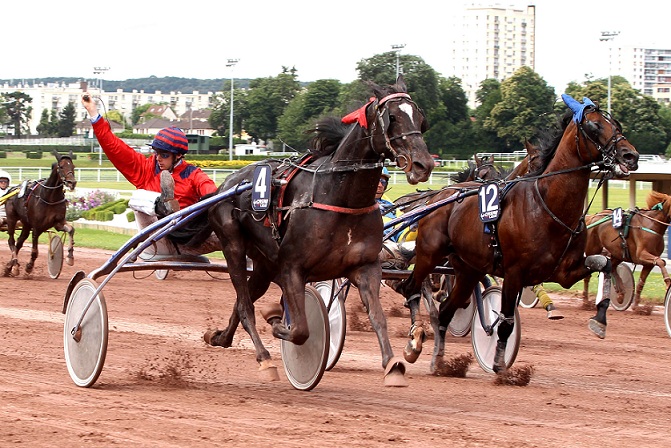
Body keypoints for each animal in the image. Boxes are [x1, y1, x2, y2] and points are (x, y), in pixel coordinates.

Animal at [205, 77, 436, 384]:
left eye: (420, 119)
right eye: (393, 118)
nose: (424, 164)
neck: (341, 197)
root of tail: (228, 183)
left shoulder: (366, 267)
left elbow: (378, 316)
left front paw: (392, 365)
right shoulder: (292, 267)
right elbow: (300, 329)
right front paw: (276, 320)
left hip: (264, 263)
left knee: (244, 301)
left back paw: (221, 337)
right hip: (233, 245)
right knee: (245, 305)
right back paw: (265, 358)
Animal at [400, 95, 640, 374]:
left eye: (617, 124)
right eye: (593, 126)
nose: (630, 155)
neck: (547, 206)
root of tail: (440, 196)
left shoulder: (565, 272)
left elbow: (606, 263)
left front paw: (600, 319)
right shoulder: (514, 272)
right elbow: (505, 322)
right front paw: (500, 366)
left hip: (469, 269)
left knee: (447, 310)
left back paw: (439, 361)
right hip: (430, 255)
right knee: (411, 289)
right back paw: (413, 343)